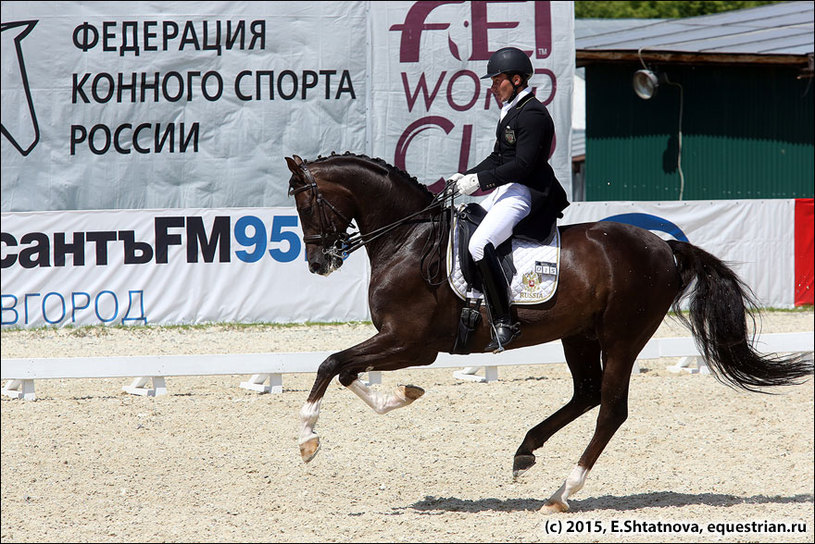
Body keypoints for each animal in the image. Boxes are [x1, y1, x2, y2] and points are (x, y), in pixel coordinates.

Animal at [284, 153, 812, 516]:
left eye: (307, 202)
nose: (318, 263)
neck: (408, 240)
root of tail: (665, 246)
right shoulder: (400, 343)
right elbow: (345, 369)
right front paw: (400, 396)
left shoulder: (412, 343)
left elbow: (331, 363)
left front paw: (308, 439)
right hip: (579, 335)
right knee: (588, 393)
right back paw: (526, 451)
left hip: (623, 337)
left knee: (611, 410)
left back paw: (563, 492)